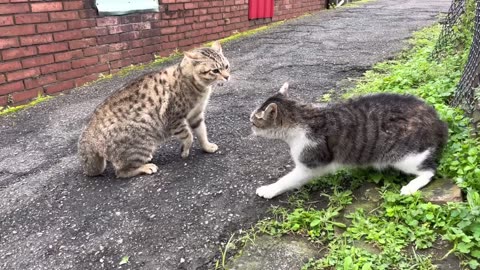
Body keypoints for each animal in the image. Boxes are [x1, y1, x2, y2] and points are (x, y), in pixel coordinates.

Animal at [77, 41, 231, 177]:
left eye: (226, 66)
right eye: (215, 70)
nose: (227, 77)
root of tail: (89, 133)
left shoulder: (196, 115)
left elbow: (202, 133)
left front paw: (207, 146)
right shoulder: (174, 120)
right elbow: (189, 136)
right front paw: (185, 150)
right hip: (142, 143)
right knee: (121, 172)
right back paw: (145, 167)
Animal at [249, 82, 448, 198]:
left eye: (253, 122)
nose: (249, 126)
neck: (302, 116)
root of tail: (437, 120)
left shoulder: (311, 163)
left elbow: (287, 179)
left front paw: (269, 189)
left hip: (405, 157)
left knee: (430, 170)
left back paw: (411, 186)